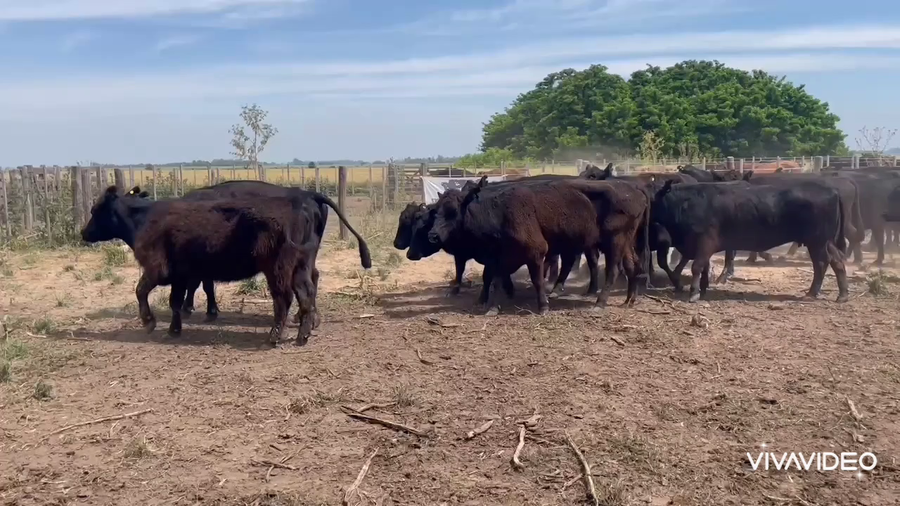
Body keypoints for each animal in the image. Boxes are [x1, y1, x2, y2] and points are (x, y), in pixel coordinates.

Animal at [81, 186, 320, 345]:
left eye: (95, 210)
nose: (83, 232)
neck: (144, 219)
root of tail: (298, 204)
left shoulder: (157, 269)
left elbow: (140, 290)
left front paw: (149, 322)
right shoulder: (179, 275)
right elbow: (175, 302)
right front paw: (174, 329)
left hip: (278, 267)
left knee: (283, 298)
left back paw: (275, 335)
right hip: (300, 266)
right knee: (305, 293)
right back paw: (303, 335)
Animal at [652, 179, 848, 302]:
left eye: (651, 196)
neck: (687, 202)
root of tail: (832, 190)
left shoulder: (704, 242)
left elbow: (697, 267)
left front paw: (694, 293)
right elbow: (704, 267)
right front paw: (703, 288)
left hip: (817, 242)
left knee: (821, 263)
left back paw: (812, 293)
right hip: (826, 242)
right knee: (836, 261)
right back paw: (842, 295)